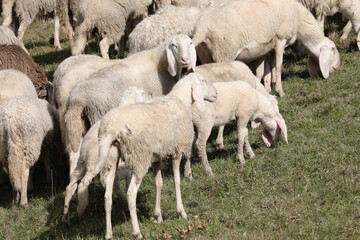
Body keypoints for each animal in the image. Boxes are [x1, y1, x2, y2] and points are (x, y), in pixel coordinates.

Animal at [62, 86, 148, 223]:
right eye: (143, 93)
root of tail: (86, 150)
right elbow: (127, 186)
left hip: (80, 165)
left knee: (70, 187)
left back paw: (65, 217)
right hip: (94, 166)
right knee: (82, 185)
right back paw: (81, 208)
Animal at [63, 34, 195, 158]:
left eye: (190, 43)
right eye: (173, 45)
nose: (185, 59)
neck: (160, 62)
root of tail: (77, 98)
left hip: (79, 124)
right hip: (98, 117)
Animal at [95, 72, 217, 239]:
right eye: (203, 81)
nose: (216, 94)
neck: (181, 102)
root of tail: (112, 128)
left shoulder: (157, 158)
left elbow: (158, 183)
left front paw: (158, 216)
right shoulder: (176, 151)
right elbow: (177, 181)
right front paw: (181, 212)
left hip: (112, 158)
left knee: (107, 197)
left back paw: (108, 233)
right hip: (139, 157)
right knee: (131, 194)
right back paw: (136, 231)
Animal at [191, 0, 340, 96]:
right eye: (333, 49)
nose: (337, 68)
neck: (299, 20)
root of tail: (202, 28)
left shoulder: (267, 48)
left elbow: (265, 69)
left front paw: (271, 84)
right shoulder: (280, 38)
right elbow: (278, 65)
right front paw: (280, 91)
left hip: (206, 55)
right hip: (224, 53)